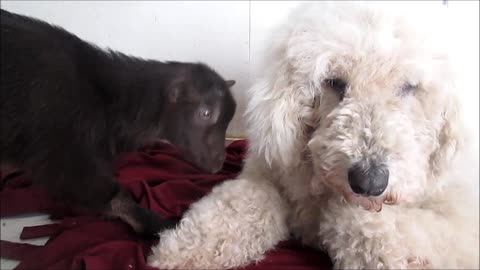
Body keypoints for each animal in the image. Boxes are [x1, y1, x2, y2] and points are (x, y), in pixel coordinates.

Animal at [148, 1, 478, 268]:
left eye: (410, 87)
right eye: (334, 82)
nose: (369, 181)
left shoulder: (459, 225)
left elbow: (357, 222)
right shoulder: (268, 178)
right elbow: (241, 205)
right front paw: (180, 250)